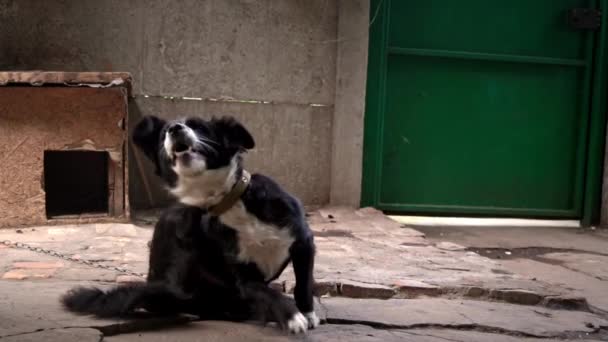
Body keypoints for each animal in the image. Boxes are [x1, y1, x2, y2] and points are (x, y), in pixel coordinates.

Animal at [60, 115, 318, 334]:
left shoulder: (303, 243)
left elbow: (303, 285)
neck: (229, 201)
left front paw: (306, 313)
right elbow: (269, 293)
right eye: (163, 133)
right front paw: (291, 316)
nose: (174, 129)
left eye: (199, 126)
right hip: (178, 227)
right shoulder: (244, 278)